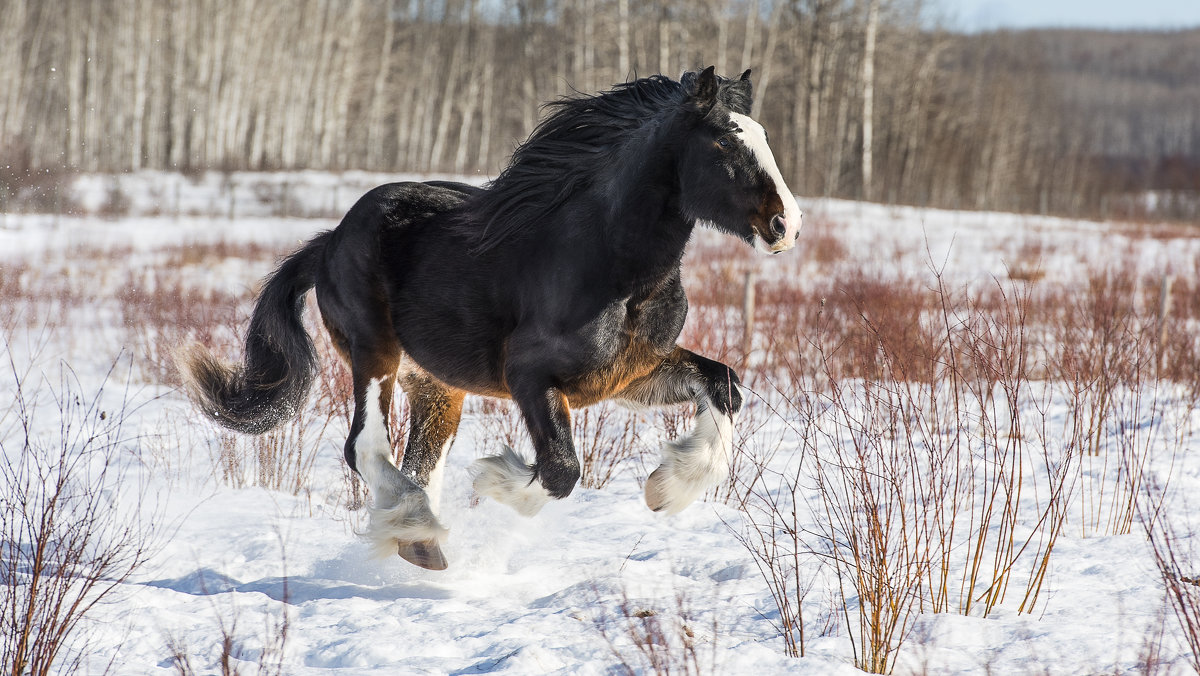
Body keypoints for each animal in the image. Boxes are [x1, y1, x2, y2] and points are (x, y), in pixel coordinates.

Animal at [177, 68, 806, 569]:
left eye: (764, 136)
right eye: (724, 141)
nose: (787, 225)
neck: (608, 263)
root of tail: (329, 241)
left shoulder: (628, 375)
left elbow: (724, 385)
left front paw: (665, 490)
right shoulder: (530, 378)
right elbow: (560, 470)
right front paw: (496, 477)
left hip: (436, 385)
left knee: (419, 462)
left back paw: (418, 542)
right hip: (373, 352)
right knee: (366, 446)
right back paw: (419, 532)